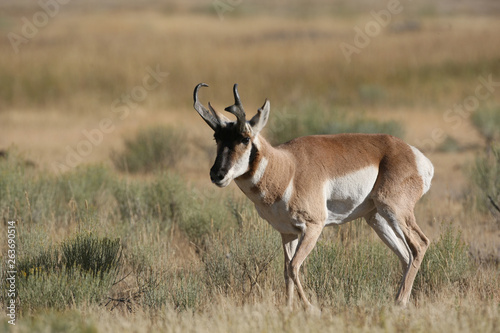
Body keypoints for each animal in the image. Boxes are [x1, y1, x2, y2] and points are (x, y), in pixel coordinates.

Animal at [193, 83, 436, 308]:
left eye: (244, 138)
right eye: (216, 137)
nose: (217, 174)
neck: (288, 167)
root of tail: (414, 155)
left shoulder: (313, 227)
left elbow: (293, 267)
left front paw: (310, 308)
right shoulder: (287, 233)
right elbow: (286, 270)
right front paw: (289, 308)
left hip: (394, 211)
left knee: (419, 245)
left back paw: (400, 302)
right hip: (376, 218)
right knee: (405, 255)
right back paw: (396, 301)